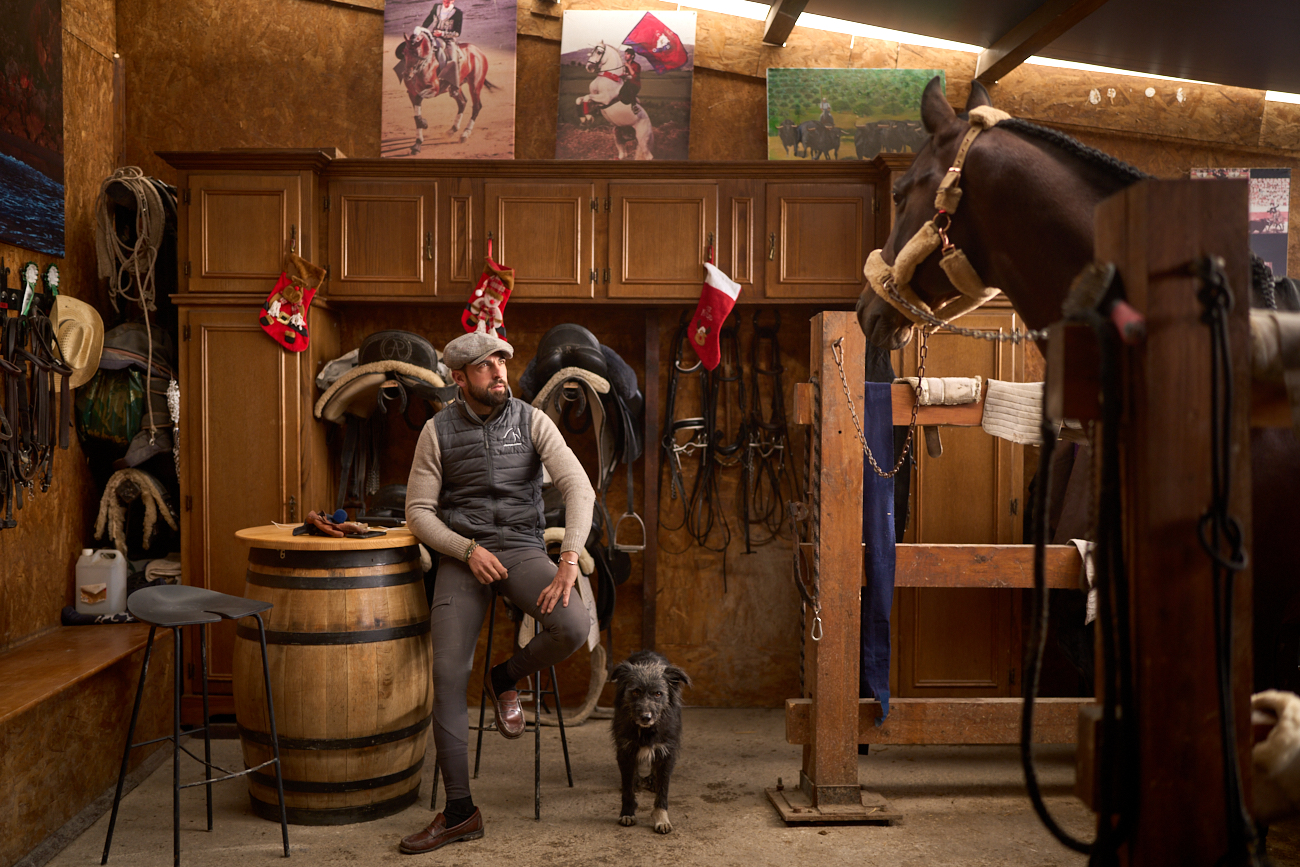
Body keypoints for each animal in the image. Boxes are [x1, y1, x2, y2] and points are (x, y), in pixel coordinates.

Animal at [608, 649, 691, 831]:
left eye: (658, 693)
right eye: (635, 692)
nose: (646, 717)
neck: (647, 730)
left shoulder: (667, 752)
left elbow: (663, 790)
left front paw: (661, 818)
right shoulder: (625, 750)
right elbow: (627, 788)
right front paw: (627, 812)